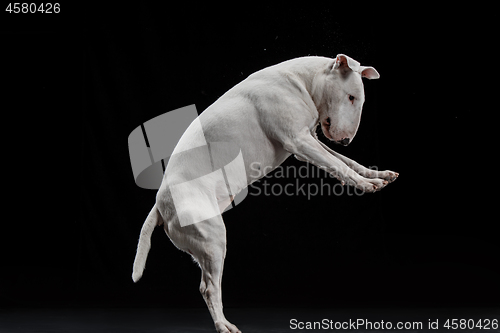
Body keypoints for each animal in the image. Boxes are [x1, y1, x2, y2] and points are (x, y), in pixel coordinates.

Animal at [132, 53, 398, 330]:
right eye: (351, 97)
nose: (346, 140)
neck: (302, 81)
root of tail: (160, 205)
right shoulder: (299, 141)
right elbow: (339, 164)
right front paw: (364, 184)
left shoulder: (310, 139)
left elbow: (346, 161)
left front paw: (378, 175)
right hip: (212, 239)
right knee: (208, 288)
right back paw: (224, 325)